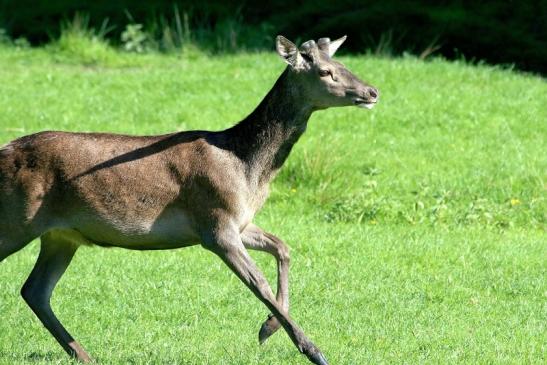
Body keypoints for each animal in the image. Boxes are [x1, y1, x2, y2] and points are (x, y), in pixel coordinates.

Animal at [0, 34, 378, 364]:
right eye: (325, 71)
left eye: (342, 62)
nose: (372, 92)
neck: (247, 168)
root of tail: (5, 150)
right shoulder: (216, 223)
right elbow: (259, 283)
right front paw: (314, 351)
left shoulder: (238, 221)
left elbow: (282, 247)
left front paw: (267, 328)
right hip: (18, 220)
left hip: (60, 235)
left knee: (35, 290)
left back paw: (83, 354)